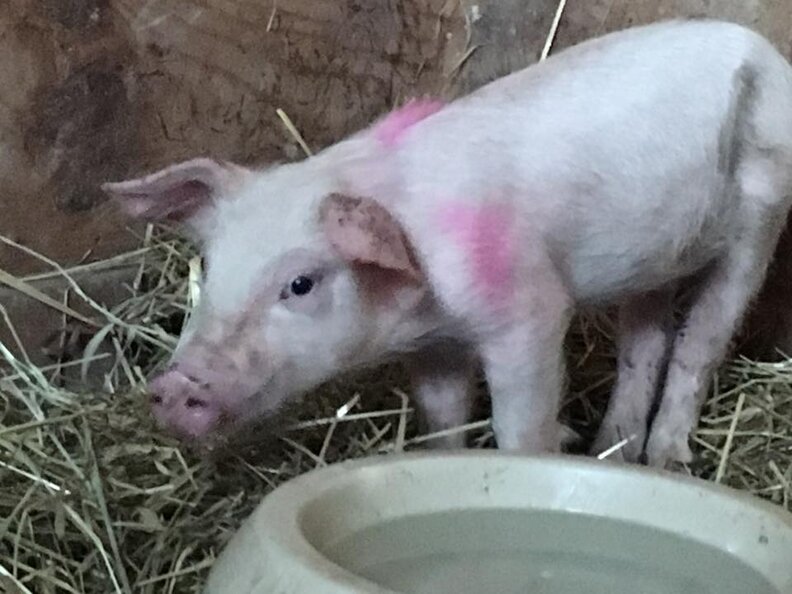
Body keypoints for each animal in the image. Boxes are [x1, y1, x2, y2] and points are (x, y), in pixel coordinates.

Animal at [103, 19, 792, 469]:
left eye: (300, 283)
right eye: (209, 268)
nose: (175, 385)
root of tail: (761, 44)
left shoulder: (529, 310)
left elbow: (520, 422)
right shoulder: (433, 347)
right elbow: (442, 417)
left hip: (762, 216)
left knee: (700, 341)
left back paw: (667, 460)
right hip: (654, 257)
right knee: (644, 344)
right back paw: (610, 450)